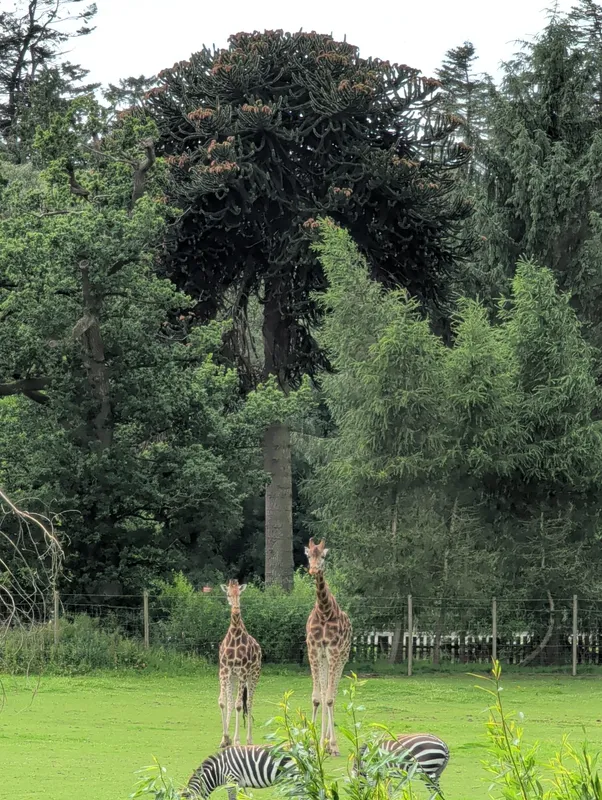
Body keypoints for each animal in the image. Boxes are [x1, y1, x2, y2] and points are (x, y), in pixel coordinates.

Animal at [218, 580, 262, 748]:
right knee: (231, 702)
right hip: (233, 678)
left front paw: (236, 740)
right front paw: (225, 739)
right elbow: (223, 702)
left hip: (253, 675)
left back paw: (249, 739)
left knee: (248, 703)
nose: (236, 610)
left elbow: (238, 705)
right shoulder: (224, 670)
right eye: (228, 594)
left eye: (240, 594)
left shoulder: (243, 671)